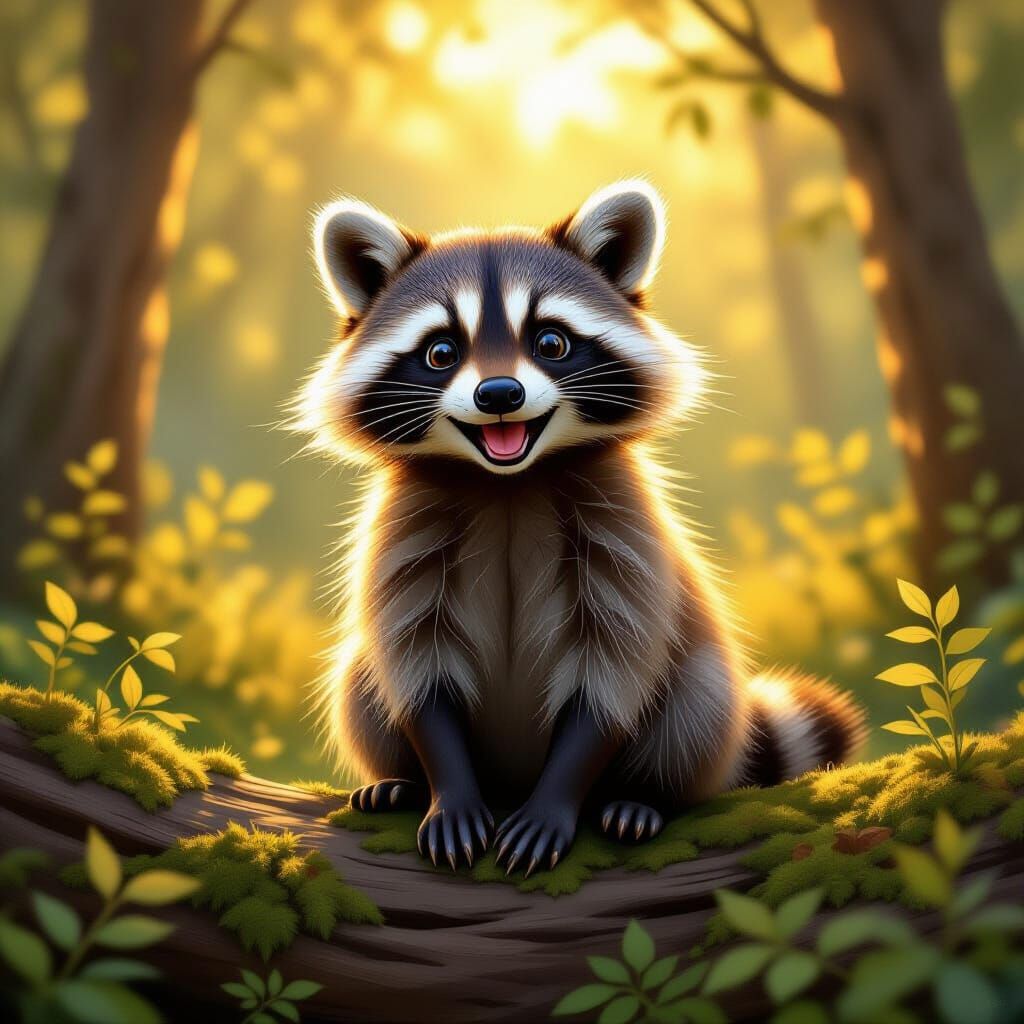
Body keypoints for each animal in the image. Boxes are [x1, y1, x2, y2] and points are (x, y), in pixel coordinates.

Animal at [294, 181, 865, 876]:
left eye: (551, 343)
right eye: (441, 353)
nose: (499, 394)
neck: (509, 481)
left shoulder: (623, 523)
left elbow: (613, 673)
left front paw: (559, 800)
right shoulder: (403, 530)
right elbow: (415, 667)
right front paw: (447, 787)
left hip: (707, 693)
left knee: (696, 700)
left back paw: (642, 796)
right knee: (359, 678)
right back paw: (398, 781)